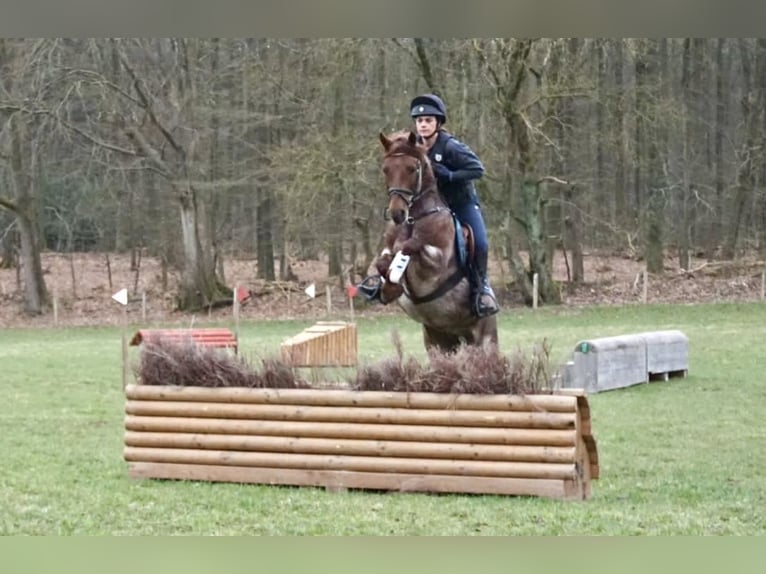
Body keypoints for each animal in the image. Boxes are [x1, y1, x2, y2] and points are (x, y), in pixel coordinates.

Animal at [372, 131, 498, 354]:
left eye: (412, 169)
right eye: (386, 169)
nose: (397, 214)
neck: (413, 219)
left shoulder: (436, 262)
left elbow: (407, 247)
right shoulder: (387, 248)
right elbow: (383, 261)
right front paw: (389, 288)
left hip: (485, 338)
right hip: (437, 340)